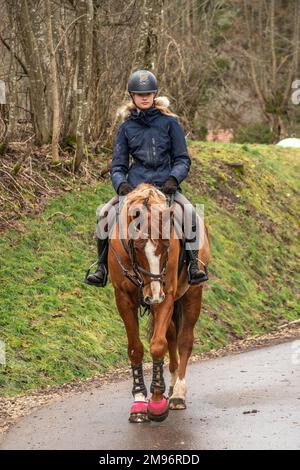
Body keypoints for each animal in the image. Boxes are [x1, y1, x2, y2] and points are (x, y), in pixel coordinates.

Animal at [108, 183, 211, 422]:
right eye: (136, 247)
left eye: (166, 246)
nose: (154, 294)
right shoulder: (124, 299)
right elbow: (136, 348)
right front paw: (139, 401)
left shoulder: (167, 296)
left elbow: (157, 345)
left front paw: (156, 402)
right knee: (172, 335)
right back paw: (171, 385)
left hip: (192, 294)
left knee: (184, 340)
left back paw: (178, 394)